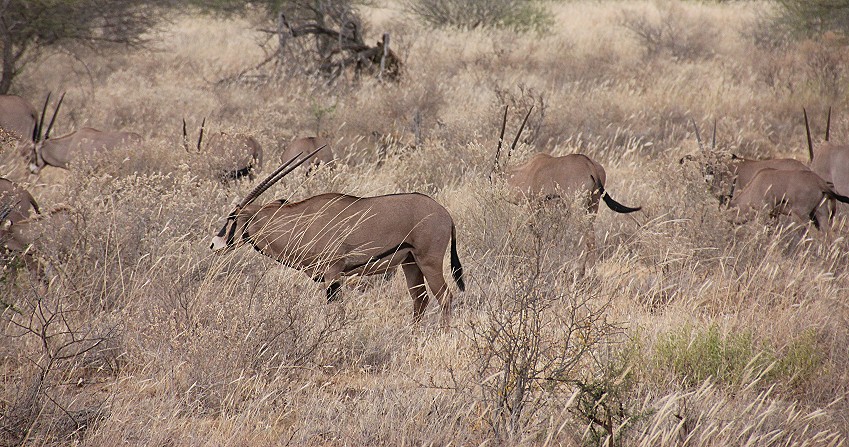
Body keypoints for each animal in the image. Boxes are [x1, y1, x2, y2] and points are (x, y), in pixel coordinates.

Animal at [210, 149, 464, 328]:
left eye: (232, 217)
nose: (214, 244)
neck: (302, 221)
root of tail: (445, 214)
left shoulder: (333, 273)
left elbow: (336, 311)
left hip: (429, 262)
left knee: (445, 297)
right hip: (410, 264)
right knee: (420, 300)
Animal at [494, 106, 640, 272]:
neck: (526, 173)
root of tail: (590, 165)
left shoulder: (534, 206)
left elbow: (535, 232)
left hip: (578, 206)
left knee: (587, 236)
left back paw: (584, 271)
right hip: (593, 204)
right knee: (591, 236)